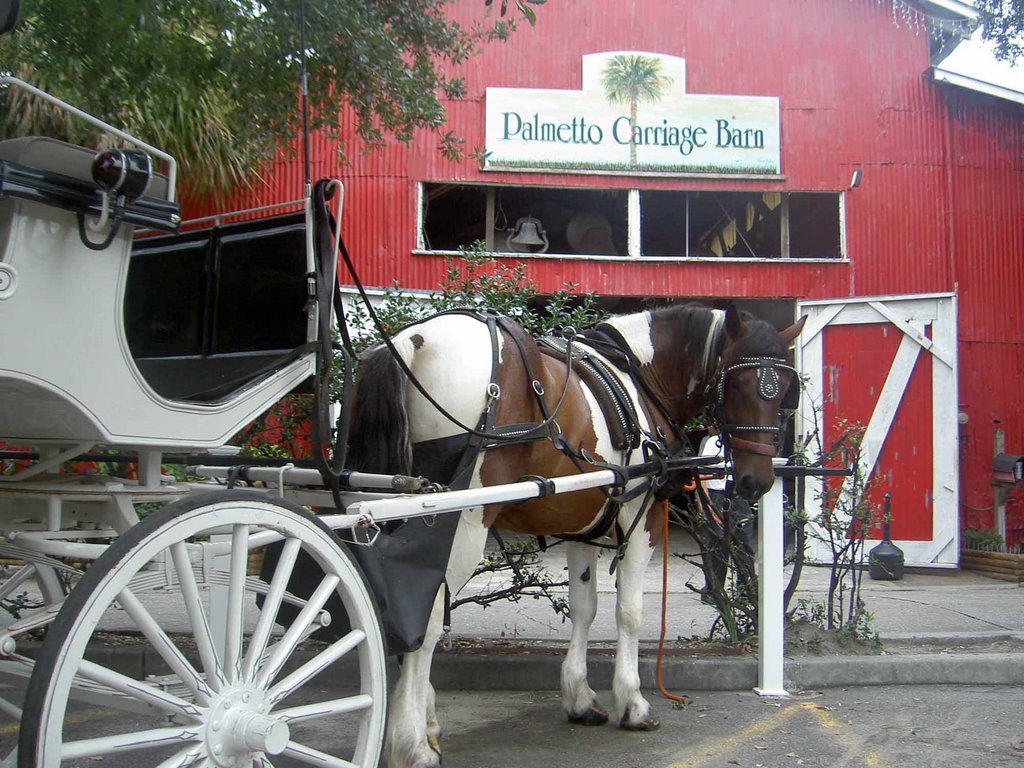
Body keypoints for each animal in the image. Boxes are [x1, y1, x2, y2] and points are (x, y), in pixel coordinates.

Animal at [348, 303, 802, 768]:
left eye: (787, 389)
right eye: (737, 382)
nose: (756, 481)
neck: (639, 378)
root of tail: (414, 340)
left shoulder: (581, 526)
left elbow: (584, 607)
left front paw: (580, 697)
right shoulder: (643, 517)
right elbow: (629, 612)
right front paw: (633, 704)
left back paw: (424, 724)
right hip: (458, 522)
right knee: (423, 622)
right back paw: (413, 743)